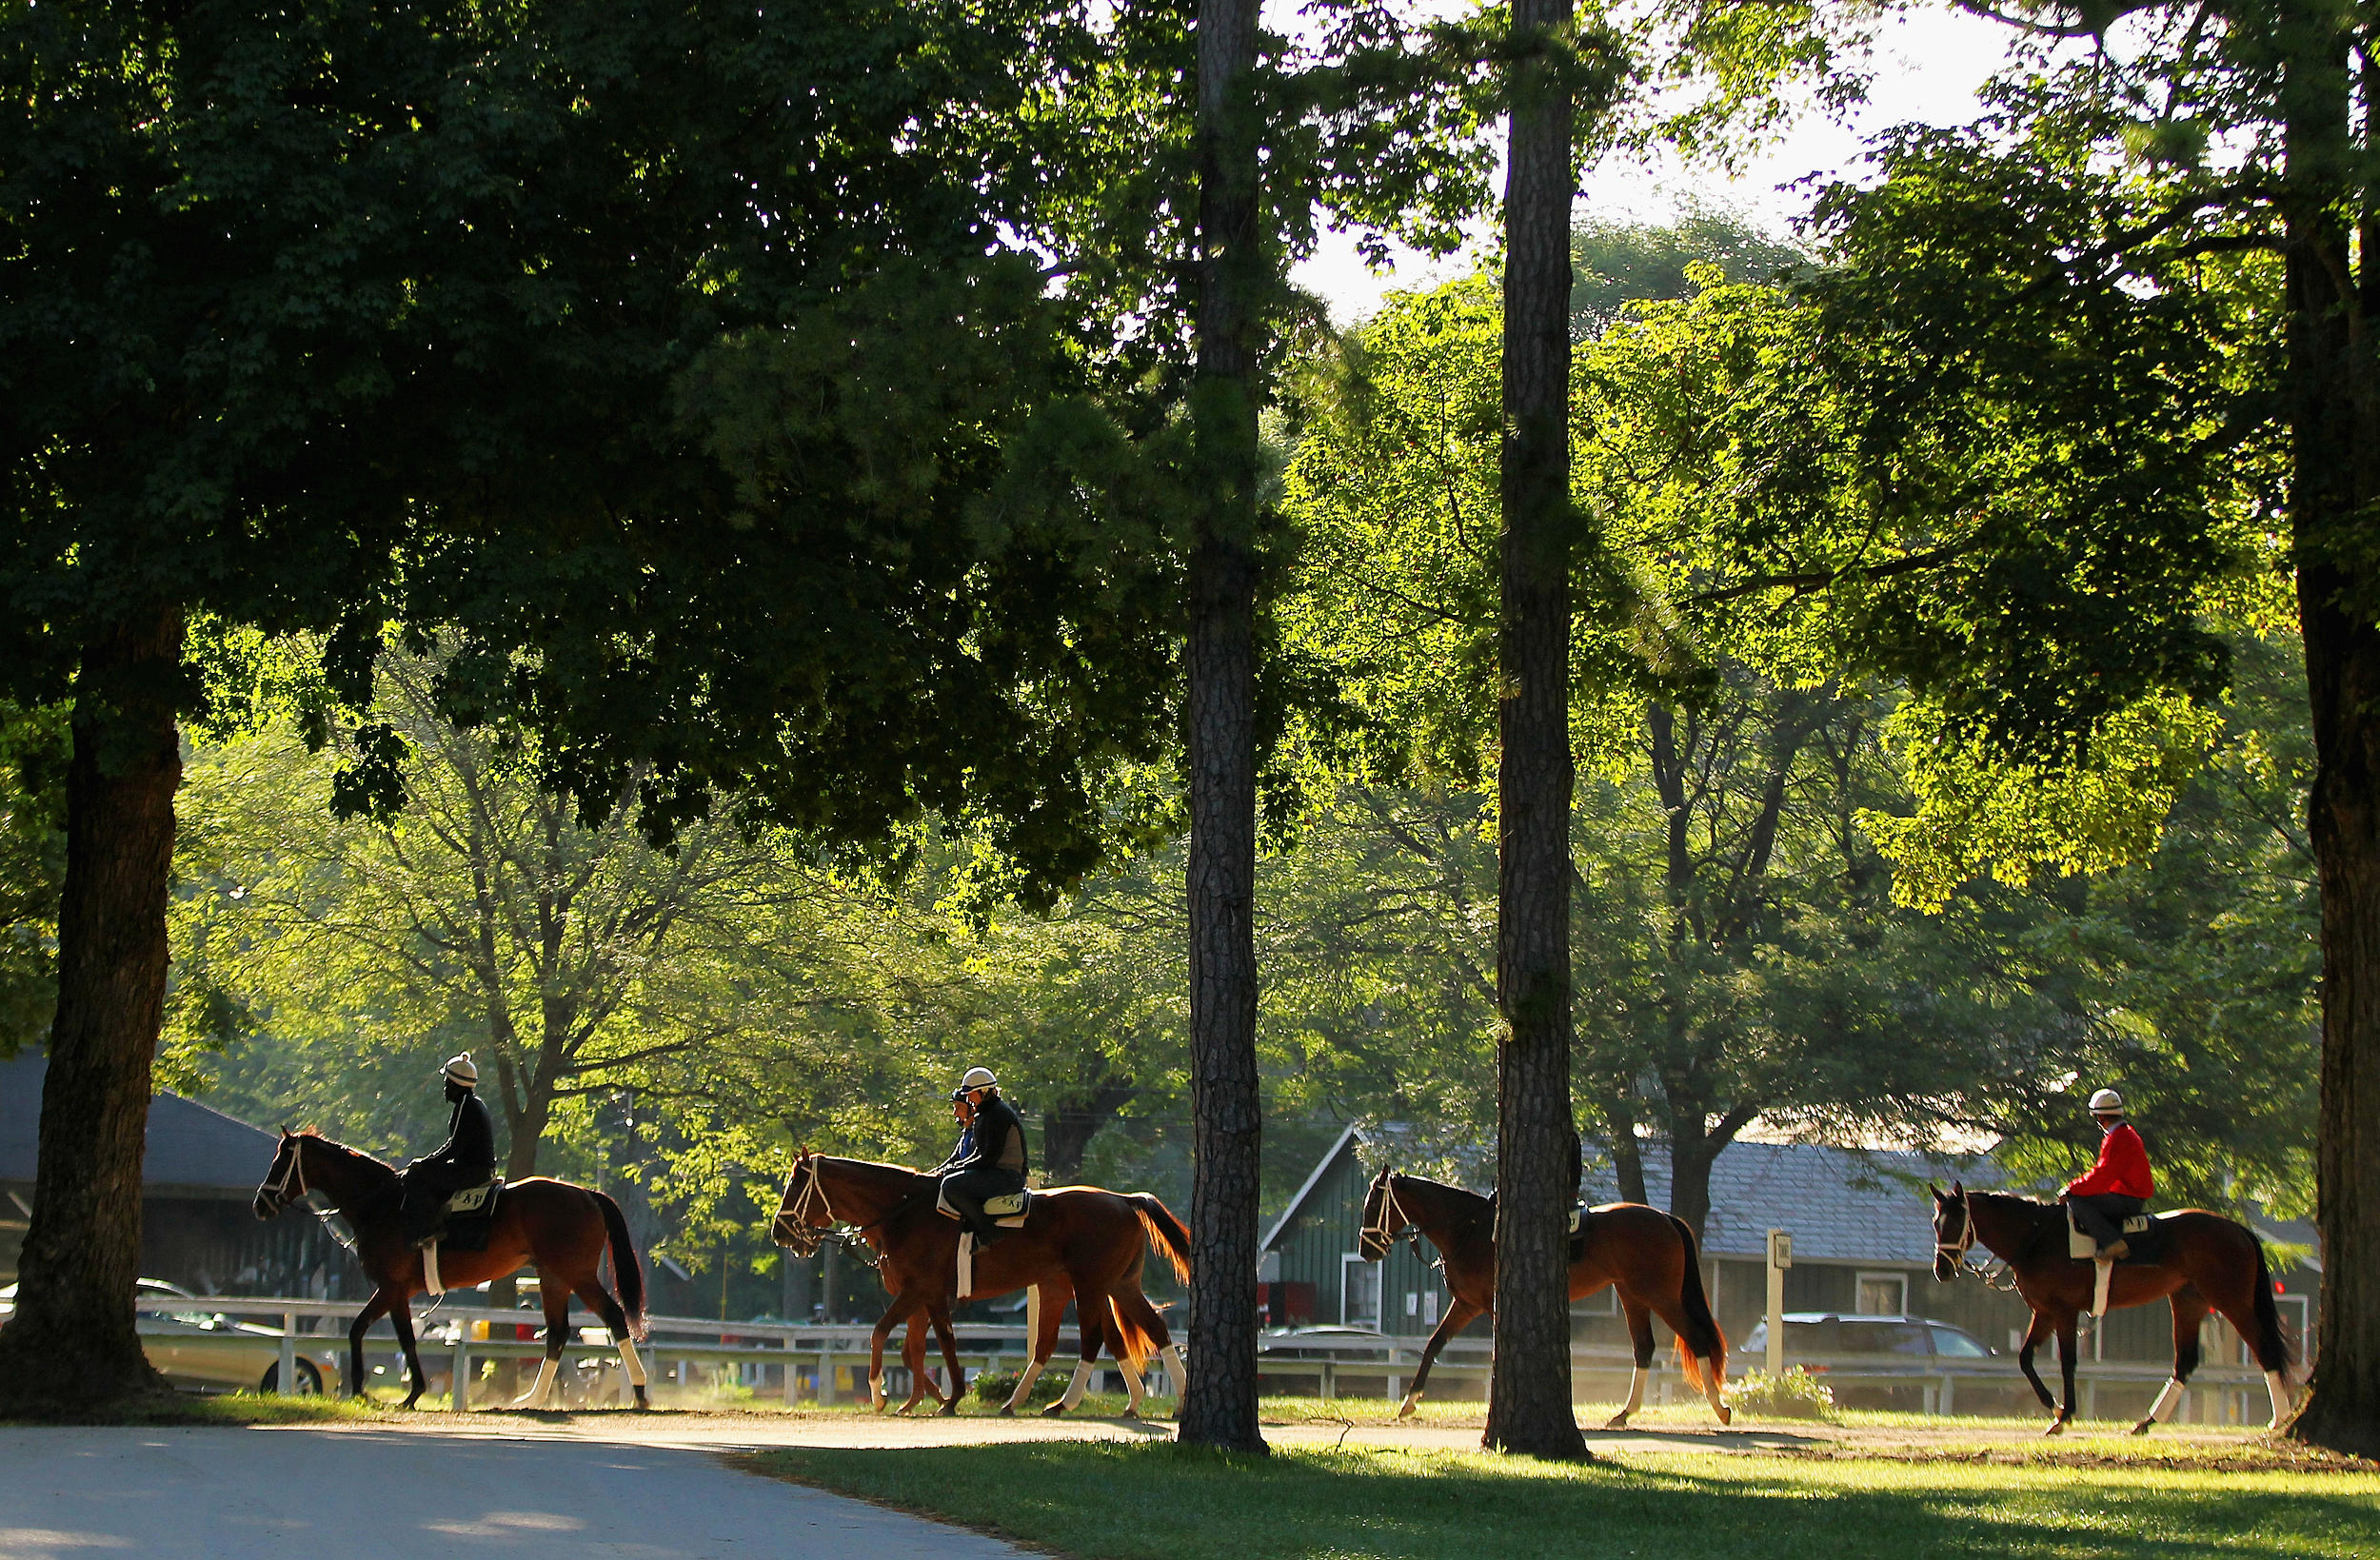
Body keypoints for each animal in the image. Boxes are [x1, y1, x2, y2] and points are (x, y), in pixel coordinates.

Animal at [253, 1127, 652, 1408]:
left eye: (280, 1162)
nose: (260, 1203)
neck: (381, 1204)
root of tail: (586, 1194)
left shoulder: (391, 1288)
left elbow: (385, 1334)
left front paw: (394, 1391)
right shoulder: (396, 1292)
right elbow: (374, 1333)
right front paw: (380, 1390)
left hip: (577, 1275)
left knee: (613, 1317)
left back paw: (640, 1390)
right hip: (552, 1278)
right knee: (557, 1333)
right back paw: (534, 1398)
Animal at [776, 1151, 1190, 1417]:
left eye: (795, 1185)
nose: (779, 1231)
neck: (903, 1212)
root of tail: (1123, 1199)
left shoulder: (918, 1292)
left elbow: (889, 1335)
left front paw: (883, 1394)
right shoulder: (925, 1299)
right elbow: (918, 1349)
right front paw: (924, 1398)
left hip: (1088, 1286)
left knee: (1092, 1339)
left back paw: (1064, 1402)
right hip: (1113, 1286)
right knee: (1148, 1328)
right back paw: (1168, 1399)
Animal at [1361, 1170, 1733, 1427]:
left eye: (1374, 1204)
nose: (1366, 1250)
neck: (1470, 1229)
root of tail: (1665, 1218)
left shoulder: (1488, 1306)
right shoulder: (1466, 1305)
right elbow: (1434, 1345)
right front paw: (1409, 1401)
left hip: (1660, 1295)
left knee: (1696, 1337)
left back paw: (1719, 1408)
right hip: (1632, 1296)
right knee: (1643, 1348)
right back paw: (1625, 1413)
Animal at [1923, 1184, 2294, 1436]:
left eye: (1955, 1222)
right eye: (1936, 1222)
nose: (1941, 1270)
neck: (2037, 1238)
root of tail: (2236, 1229)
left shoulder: (2064, 1312)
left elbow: (2068, 1362)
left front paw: (2065, 1414)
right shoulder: (2043, 1313)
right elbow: (2025, 1359)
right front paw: (2055, 1407)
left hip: (2233, 1302)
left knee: (2264, 1350)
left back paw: (2280, 1418)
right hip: (2188, 1302)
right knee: (2185, 1362)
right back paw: (2147, 1421)